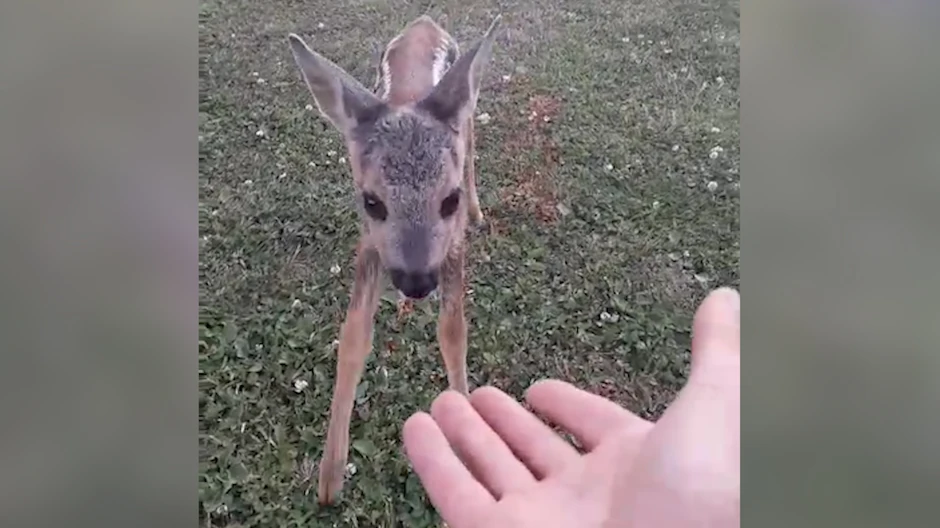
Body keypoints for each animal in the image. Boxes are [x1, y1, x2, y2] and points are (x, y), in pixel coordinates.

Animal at [287, 14, 502, 504]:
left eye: (449, 199)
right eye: (371, 202)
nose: (416, 282)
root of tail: (425, 21)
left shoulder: (452, 248)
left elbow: (453, 332)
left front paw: (468, 438)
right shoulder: (370, 245)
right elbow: (353, 337)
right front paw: (329, 478)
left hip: (467, 107)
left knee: (472, 146)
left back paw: (481, 210)